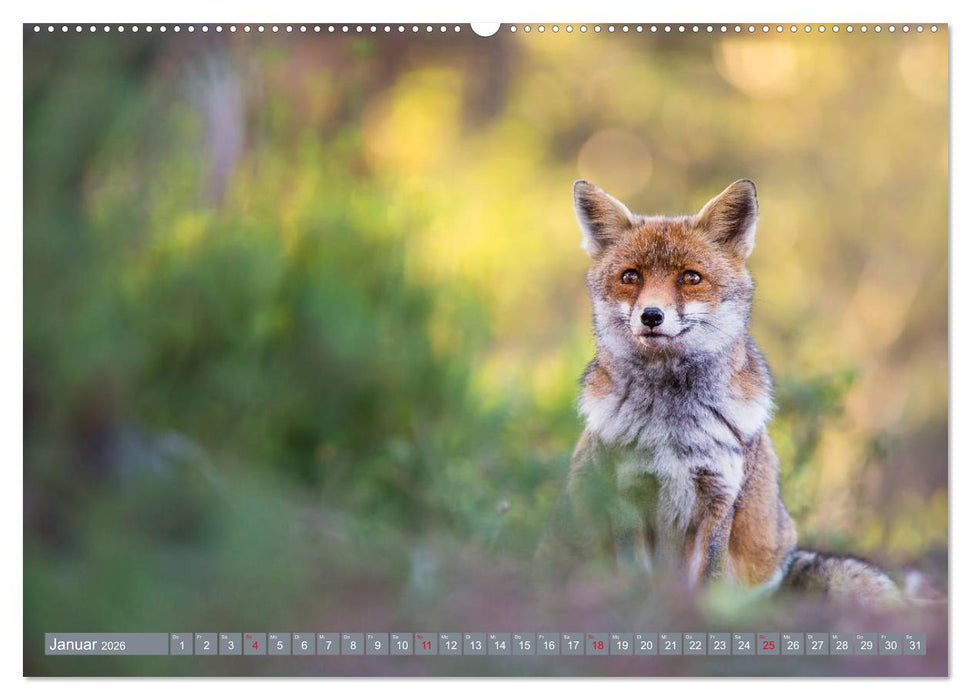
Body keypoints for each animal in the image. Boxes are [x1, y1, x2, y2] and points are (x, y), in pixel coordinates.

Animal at [537, 178, 905, 609]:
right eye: (631, 277)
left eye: (690, 277)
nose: (651, 315)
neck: (672, 426)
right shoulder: (627, 496)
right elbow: (636, 577)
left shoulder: (718, 500)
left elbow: (707, 579)